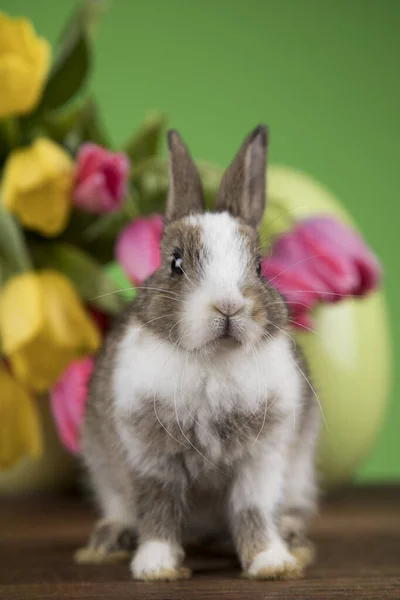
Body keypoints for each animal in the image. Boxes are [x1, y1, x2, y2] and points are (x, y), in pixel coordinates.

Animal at [76, 124, 322, 580]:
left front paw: (271, 563)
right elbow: (157, 509)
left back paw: (292, 535)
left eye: (259, 266)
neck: (214, 359)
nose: (228, 307)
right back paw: (110, 538)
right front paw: (155, 567)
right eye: (175, 263)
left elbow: (253, 510)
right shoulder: (151, 456)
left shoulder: (263, 458)